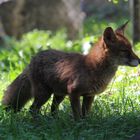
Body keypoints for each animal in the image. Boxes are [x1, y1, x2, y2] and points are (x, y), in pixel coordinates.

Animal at [1, 21, 139, 120]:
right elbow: (77, 115)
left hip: (59, 95)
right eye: (125, 51)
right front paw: (78, 127)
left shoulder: (89, 96)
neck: (94, 68)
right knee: (32, 109)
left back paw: (54, 122)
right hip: (44, 94)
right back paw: (38, 123)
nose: (139, 60)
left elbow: (85, 116)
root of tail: (32, 59)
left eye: (131, 49)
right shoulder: (74, 93)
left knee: (52, 110)